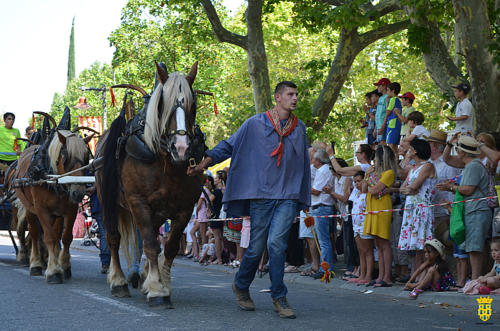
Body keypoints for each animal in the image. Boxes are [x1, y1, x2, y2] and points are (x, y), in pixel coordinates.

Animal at [14, 113, 93, 282]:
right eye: (65, 155)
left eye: (86, 156)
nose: (78, 192)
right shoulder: (41, 210)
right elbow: (48, 237)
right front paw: (54, 272)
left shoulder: (70, 210)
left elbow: (66, 237)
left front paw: (64, 266)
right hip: (30, 209)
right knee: (35, 233)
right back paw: (36, 264)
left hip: (56, 214)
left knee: (55, 235)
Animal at [95, 63, 205, 308]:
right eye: (163, 104)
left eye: (193, 105)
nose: (181, 148)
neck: (168, 163)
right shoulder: (139, 202)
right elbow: (151, 245)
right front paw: (157, 290)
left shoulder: (185, 208)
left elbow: (169, 246)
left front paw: (161, 283)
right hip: (108, 201)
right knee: (113, 238)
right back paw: (118, 281)